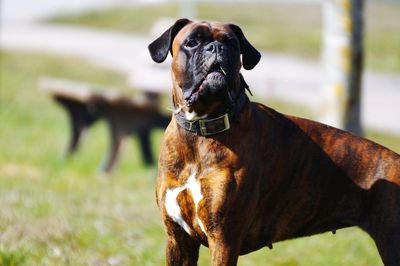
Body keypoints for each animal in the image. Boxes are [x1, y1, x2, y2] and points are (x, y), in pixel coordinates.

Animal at [148, 18, 400, 264]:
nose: (216, 48)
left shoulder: (223, 240)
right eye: (192, 42)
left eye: (231, 44)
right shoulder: (178, 239)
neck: (201, 131)